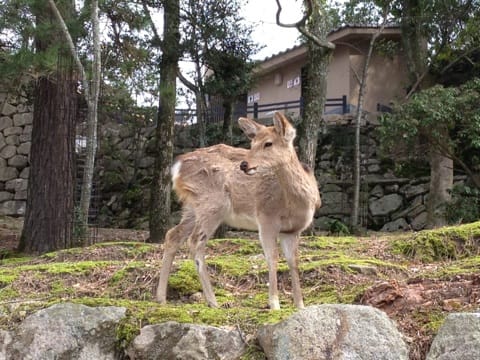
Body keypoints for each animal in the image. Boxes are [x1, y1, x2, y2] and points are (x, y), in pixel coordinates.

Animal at [158, 112, 320, 310]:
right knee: (195, 241)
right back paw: (213, 301)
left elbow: (293, 261)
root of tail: (177, 167)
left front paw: (300, 305)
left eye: (268, 143)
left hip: (191, 207)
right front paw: (274, 304)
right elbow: (272, 257)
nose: (244, 165)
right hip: (212, 203)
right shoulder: (266, 217)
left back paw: (161, 297)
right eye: (252, 143)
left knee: (173, 235)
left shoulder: (292, 230)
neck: (299, 203)